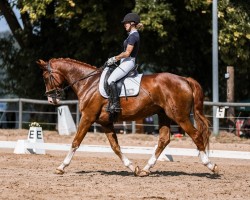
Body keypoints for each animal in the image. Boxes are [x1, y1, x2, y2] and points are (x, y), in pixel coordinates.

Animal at [37, 57, 219, 177]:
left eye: (46, 77)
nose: (51, 99)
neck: (89, 83)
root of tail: (184, 79)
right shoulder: (105, 122)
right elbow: (115, 147)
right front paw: (133, 167)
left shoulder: (87, 117)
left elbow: (75, 141)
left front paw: (61, 166)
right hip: (163, 115)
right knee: (164, 139)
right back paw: (145, 169)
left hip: (180, 116)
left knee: (196, 135)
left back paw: (210, 165)